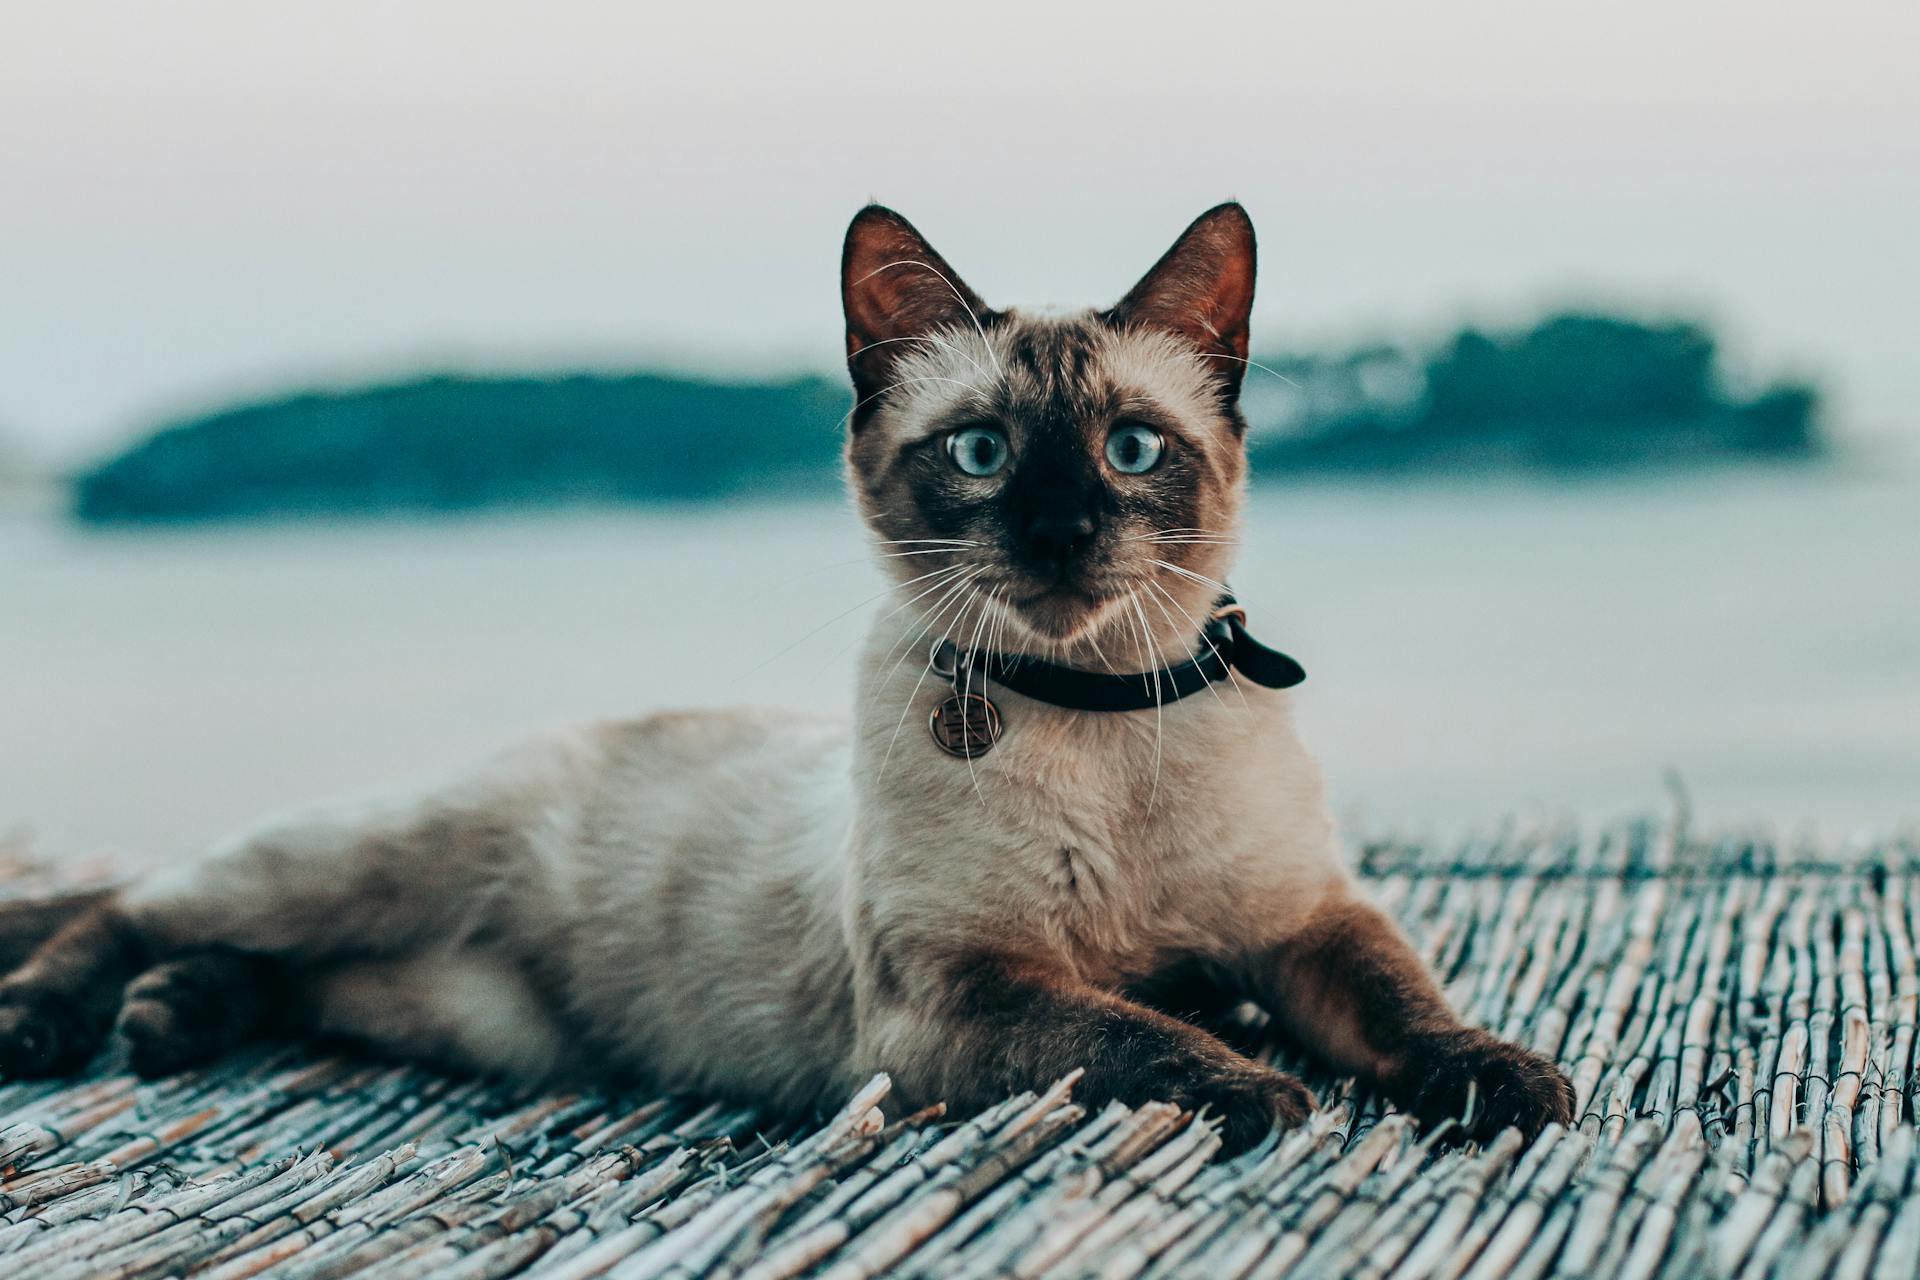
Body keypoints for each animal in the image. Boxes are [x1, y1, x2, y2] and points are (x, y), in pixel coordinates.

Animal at [0, 205, 1574, 1159]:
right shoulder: (959, 999)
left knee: (273, 970)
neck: (1098, 716)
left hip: (468, 1013)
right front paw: (1261, 1084)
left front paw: (1506, 1079)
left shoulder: (1305, 923)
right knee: (139, 905)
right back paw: (60, 1022)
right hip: (364, 865)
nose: (1061, 532)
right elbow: (1145, 1034)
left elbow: (1406, 1007)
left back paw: (172, 1018)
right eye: (983, 453)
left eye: (1131, 450)